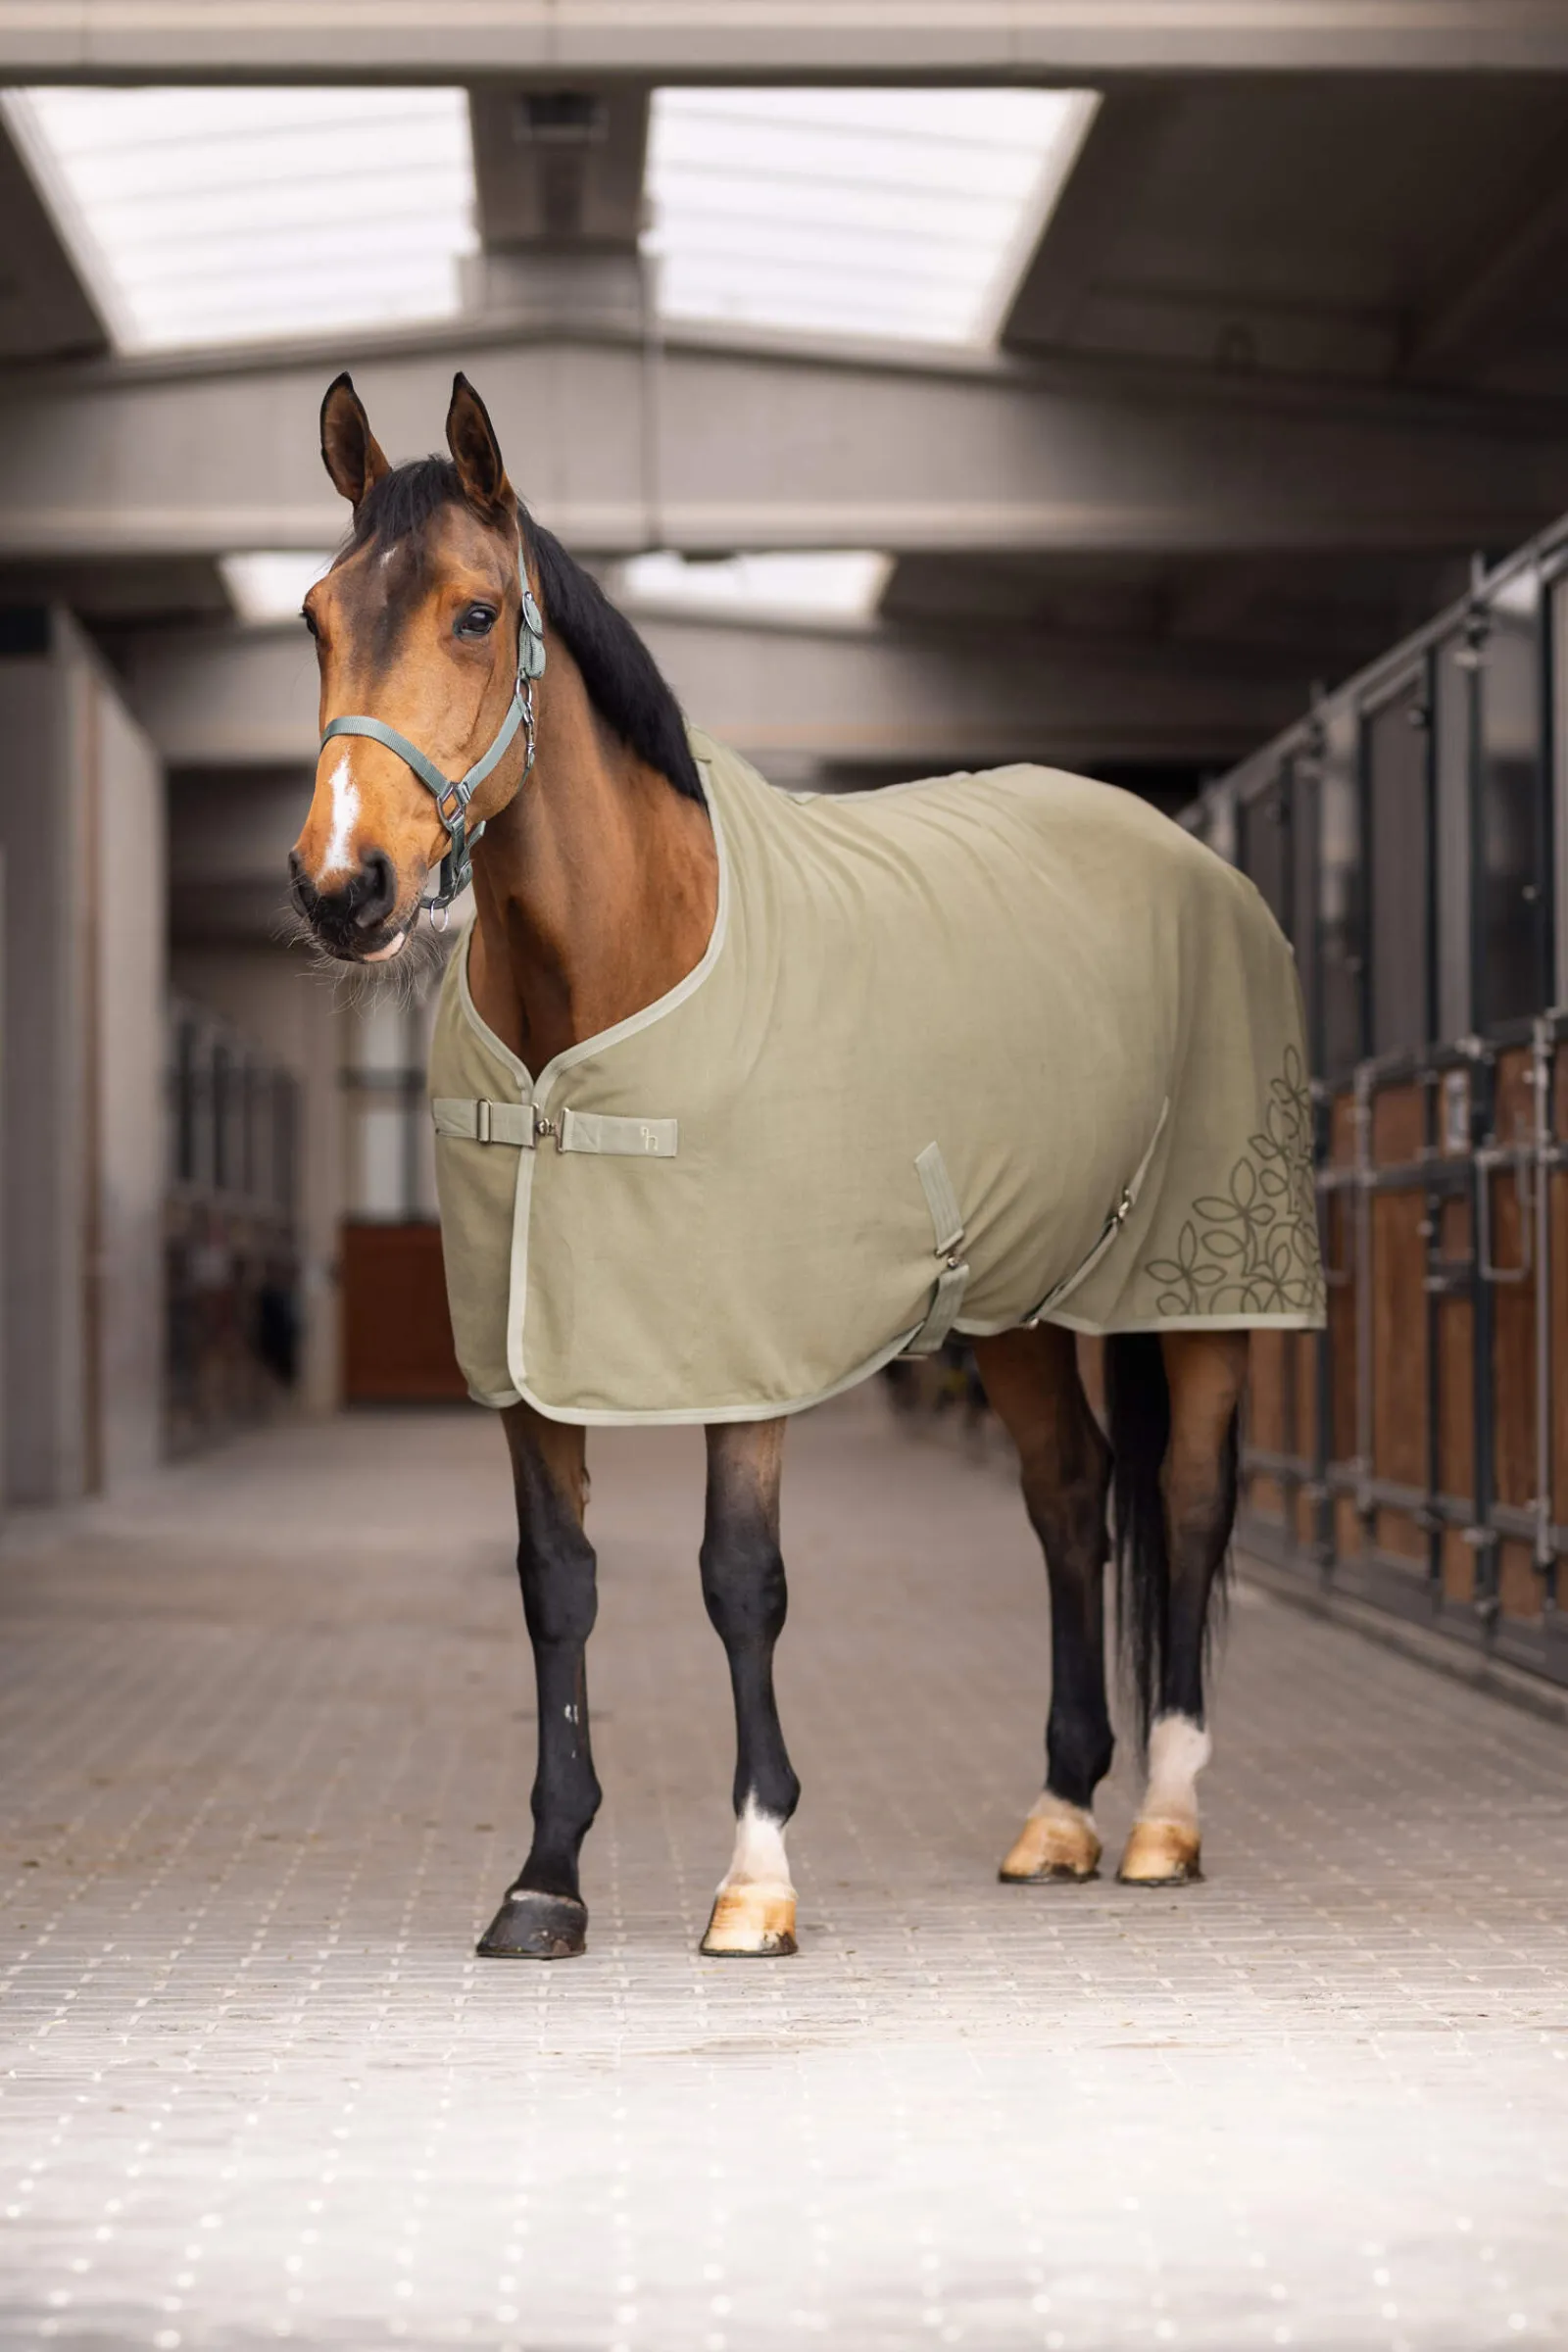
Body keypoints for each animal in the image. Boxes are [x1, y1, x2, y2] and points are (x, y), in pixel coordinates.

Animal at [287, 370, 1324, 1962]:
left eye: (473, 613)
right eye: (316, 618)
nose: (345, 887)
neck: (618, 976)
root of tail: (1194, 859)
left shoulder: (747, 1350)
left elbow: (738, 1581)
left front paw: (756, 1873)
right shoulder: (522, 1355)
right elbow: (555, 1586)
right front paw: (545, 1879)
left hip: (1198, 1294)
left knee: (1191, 1503)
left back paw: (1161, 1819)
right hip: (1013, 1300)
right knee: (1069, 1497)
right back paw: (1058, 1813)